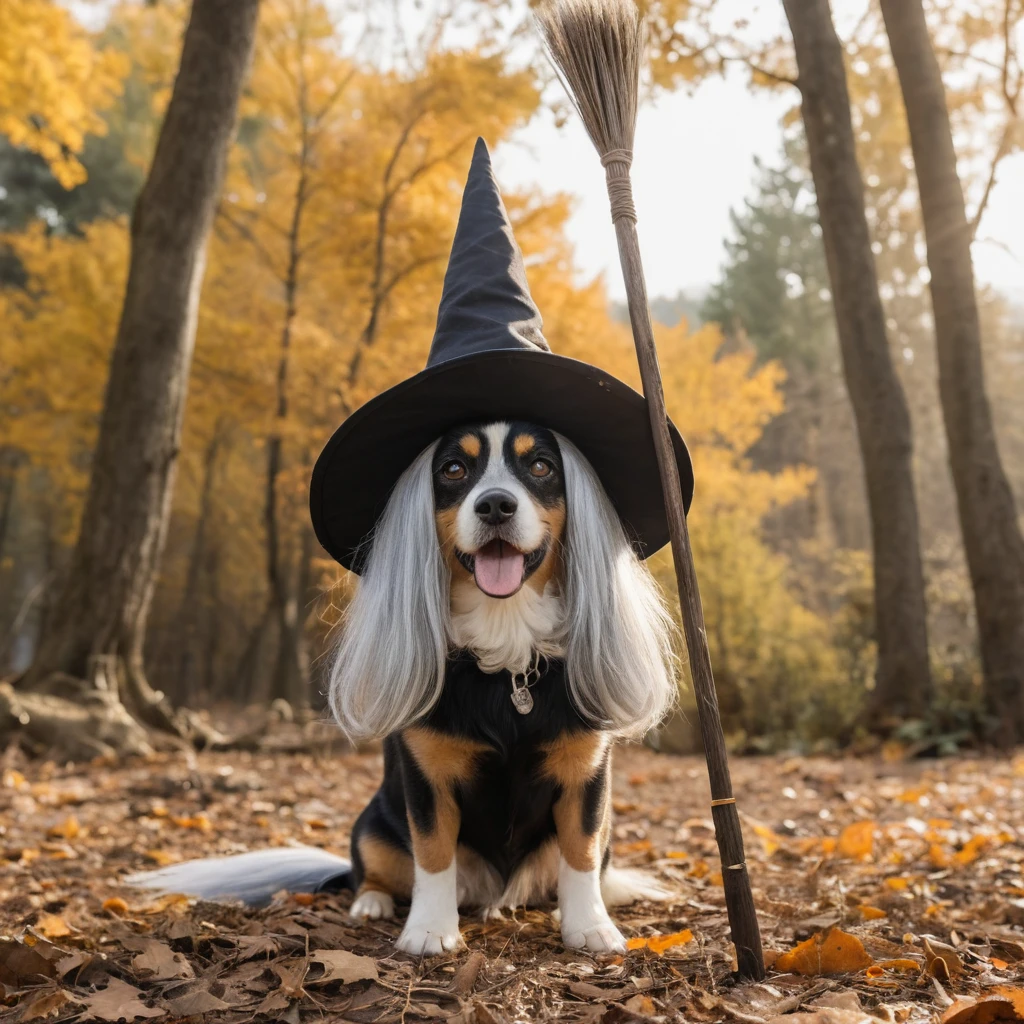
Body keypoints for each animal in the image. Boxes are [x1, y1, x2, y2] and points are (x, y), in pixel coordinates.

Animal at [130, 419, 679, 954]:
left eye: (542, 466)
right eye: (453, 469)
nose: (495, 505)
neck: (505, 646)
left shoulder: (585, 773)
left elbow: (580, 852)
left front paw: (590, 927)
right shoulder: (427, 776)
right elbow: (432, 854)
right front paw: (431, 931)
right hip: (373, 826)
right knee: (372, 874)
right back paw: (371, 903)